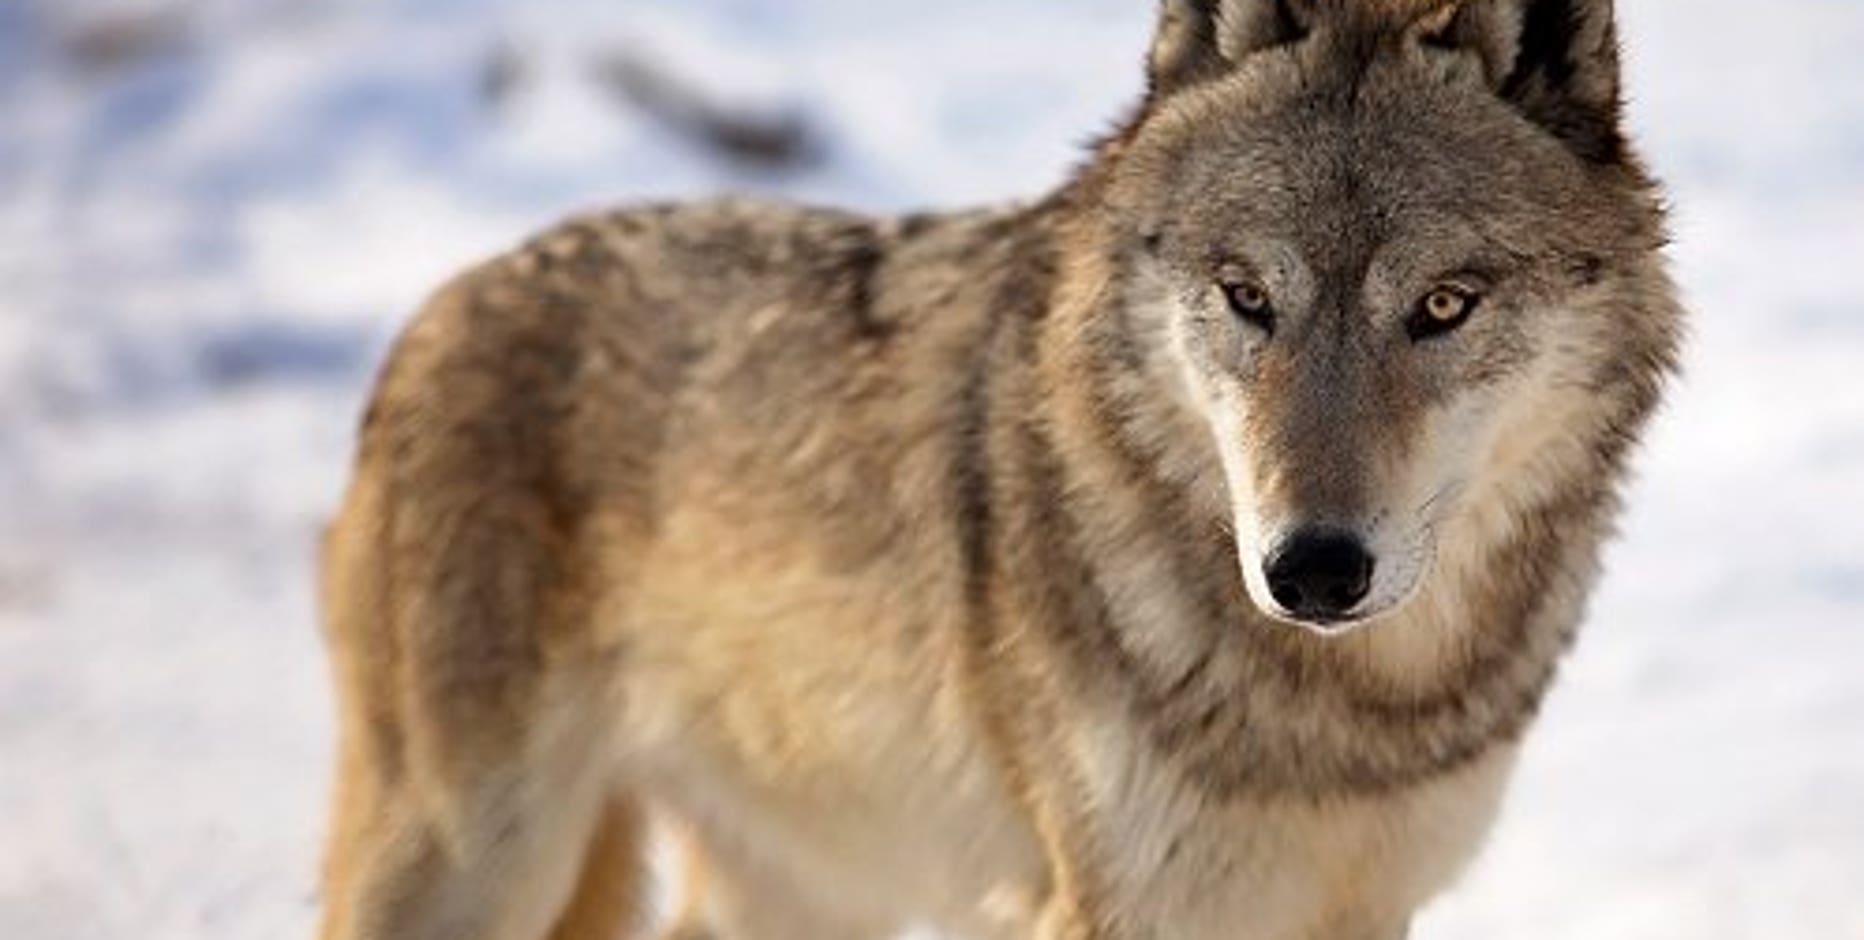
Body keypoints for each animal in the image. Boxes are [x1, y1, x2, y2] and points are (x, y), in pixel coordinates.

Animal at [314, 1, 1681, 938]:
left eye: (1443, 305)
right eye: (1247, 296)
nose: (1312, 570)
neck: (1347, 714)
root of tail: (442, 302)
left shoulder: (1366, 909)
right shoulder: (1107, 907)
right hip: (471, 860)